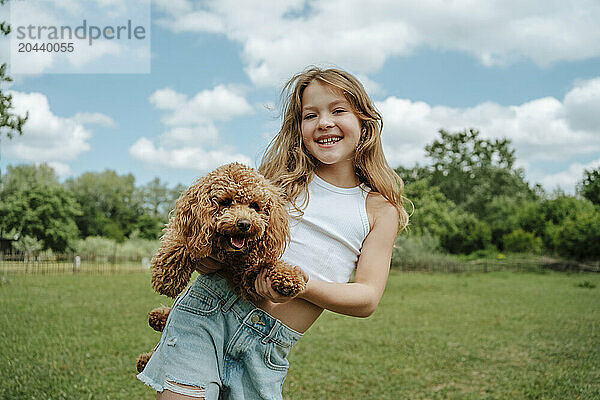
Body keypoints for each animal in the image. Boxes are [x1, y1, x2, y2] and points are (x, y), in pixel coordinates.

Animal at [138, 162, 308, 372]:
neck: (230, 255)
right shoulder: (186, 226)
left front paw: (289, 278)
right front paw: (168, 279)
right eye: (225, 202)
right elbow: (179, 243)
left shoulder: (247, 275)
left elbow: (268, 265)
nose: (244, 223)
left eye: (255, 206)